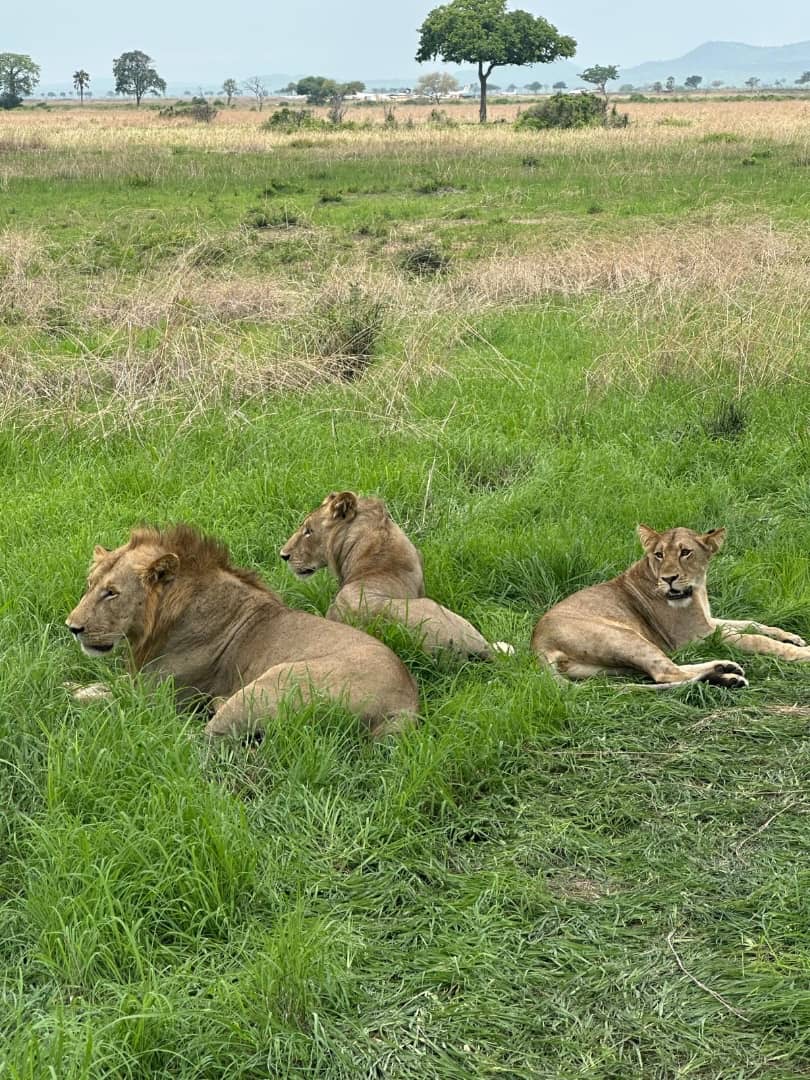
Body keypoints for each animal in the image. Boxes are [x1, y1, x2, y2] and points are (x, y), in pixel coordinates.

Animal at [66, 524, 419, 739]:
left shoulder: (154, 695)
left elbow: (102, 695)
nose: (72, 628)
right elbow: (99, 684)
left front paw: (69, 695)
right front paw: (70, 683)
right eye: (90, 585)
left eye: (112, 593)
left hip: (272, 682)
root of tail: (406, 704)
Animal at [532, 525, 809, 689]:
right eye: (659, 554)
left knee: (665, 671)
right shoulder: (696, 637)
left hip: (610, 667)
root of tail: (536, 645)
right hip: (625, 637)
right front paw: (802, 653)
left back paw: (725, 671)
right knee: (666, 673)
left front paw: (793, 637)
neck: (697, 589)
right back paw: (727, 674)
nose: (669, 578)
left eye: (685, 552)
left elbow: (751, 623)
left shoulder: (710, 621)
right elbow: (756, 639)